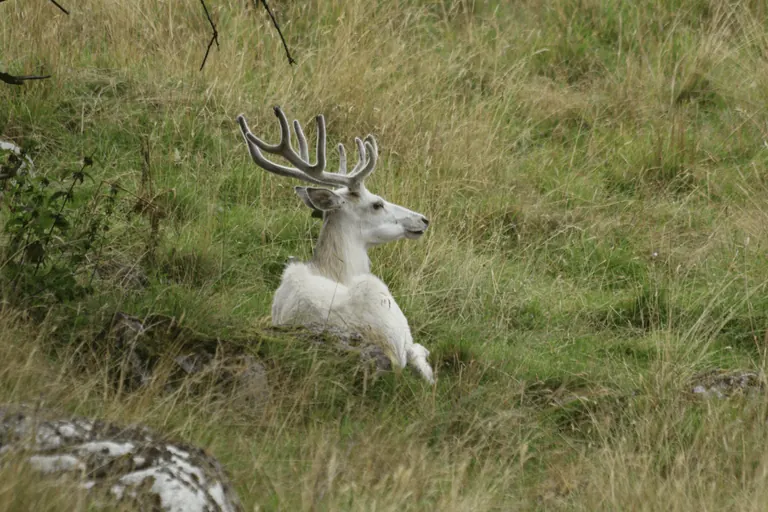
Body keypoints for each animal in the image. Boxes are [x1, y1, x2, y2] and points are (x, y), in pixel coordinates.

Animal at [236, 106, 434, 384]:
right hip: (384, 301)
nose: (423, 219)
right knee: (418, 356)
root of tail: (384, 346)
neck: (336, 271)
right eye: (377, 204)